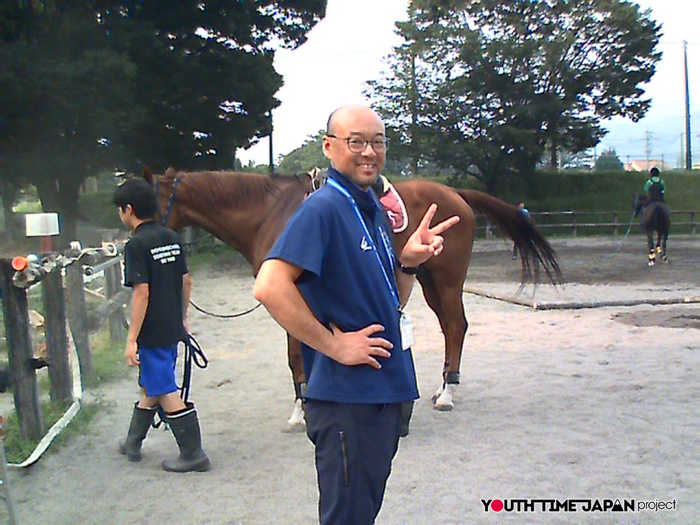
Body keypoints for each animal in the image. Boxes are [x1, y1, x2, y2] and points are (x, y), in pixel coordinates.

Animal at [143, 167, 561, 429]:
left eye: (152, 204)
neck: (269, 214)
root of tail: (454, 193)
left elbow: (296, 355)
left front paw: (301, 410)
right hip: (427, 279)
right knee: (449, 327)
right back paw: (444, 386)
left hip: (447, 279)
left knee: (456, 326)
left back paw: (447, 394)